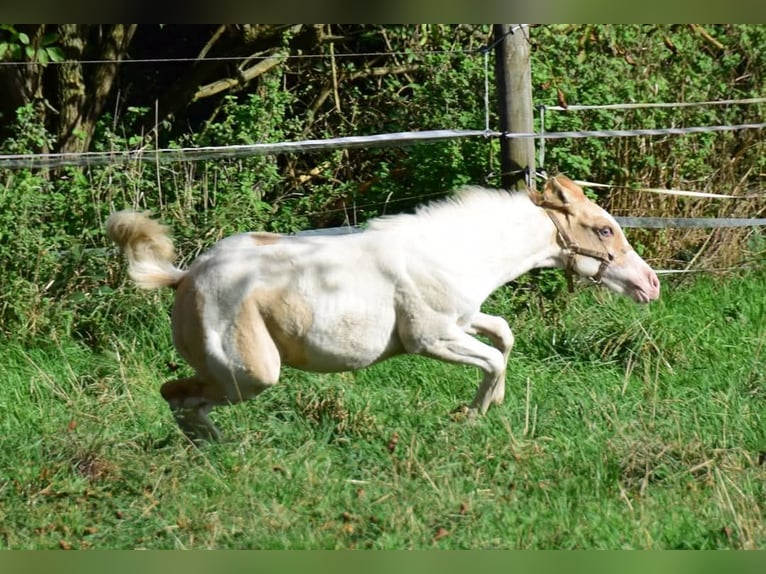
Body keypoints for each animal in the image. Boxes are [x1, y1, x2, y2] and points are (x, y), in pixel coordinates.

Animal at [106, 176, 660, 440]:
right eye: (605, 229)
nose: (650, 285)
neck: (456, 251)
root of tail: (184, 277)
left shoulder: (462, 319)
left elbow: (503, 333)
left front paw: (492, 404)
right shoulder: (431, 338)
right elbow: (492, 357)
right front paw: (470, 415)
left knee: (179, 397)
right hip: (252, 374)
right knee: (179, 396)